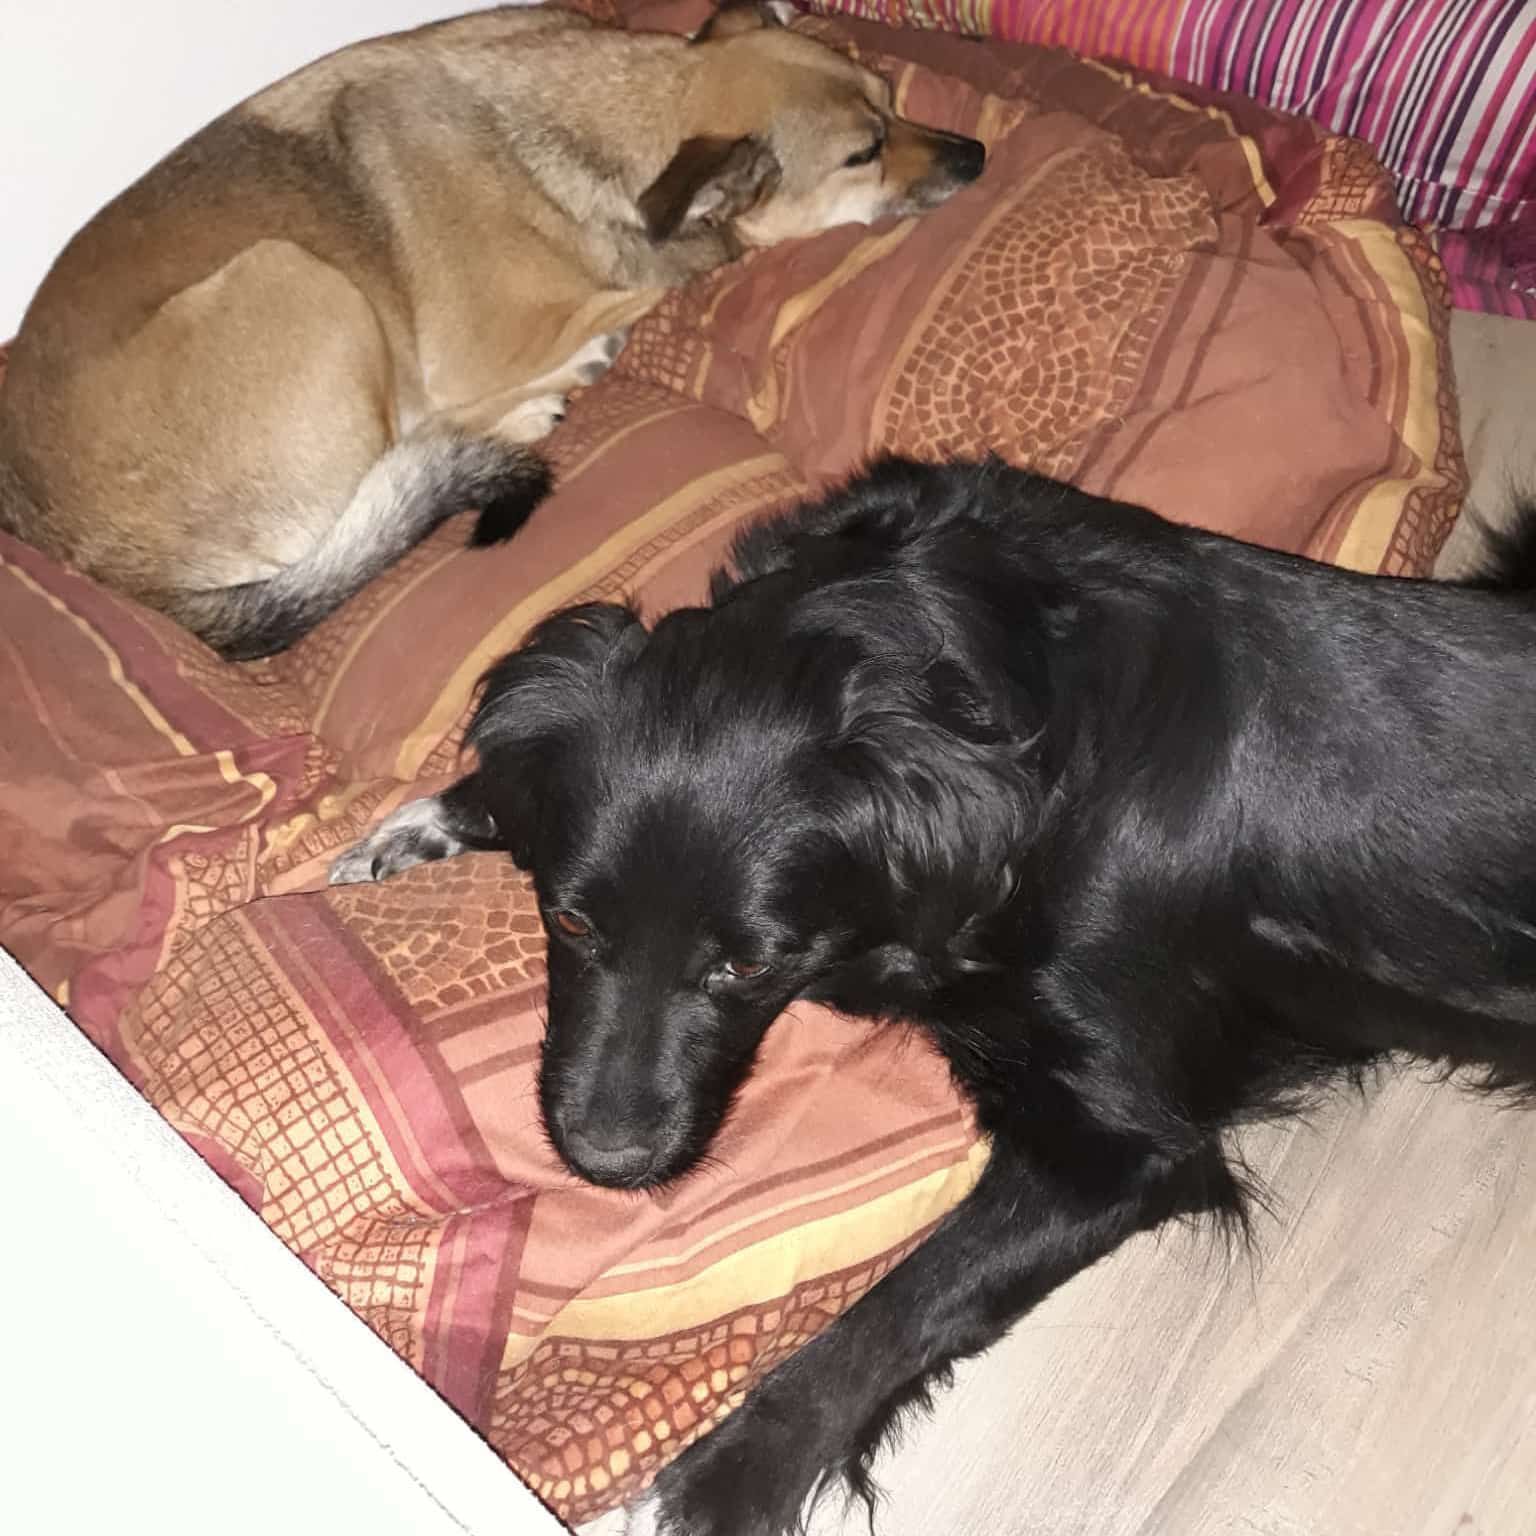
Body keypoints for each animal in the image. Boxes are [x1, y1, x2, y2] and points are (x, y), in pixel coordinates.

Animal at [0, 4, 983, 660]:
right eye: (863, 153)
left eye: (893, 97)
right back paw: (544, 399)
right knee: (406, 448)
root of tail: (112, 569)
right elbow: (652, 280)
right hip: (298, 277)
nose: (978, 155)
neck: (623, 112)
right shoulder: (497, 340)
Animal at [332, 457, 1536, 1535]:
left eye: (749, 965)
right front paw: (442, 812)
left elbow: (900, 1307)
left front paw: (712, 1487)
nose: (606, 1161)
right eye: (572, 923)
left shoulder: (1121, 1146)